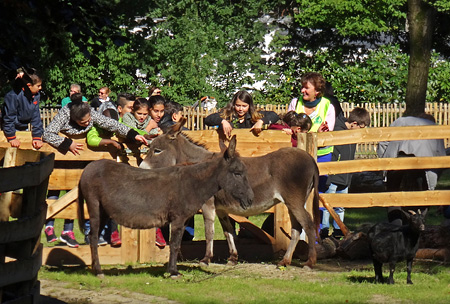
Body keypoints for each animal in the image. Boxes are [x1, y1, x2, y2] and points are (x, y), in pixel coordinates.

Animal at [78, 135, 253, 278]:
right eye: (237, 173)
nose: (250, 199)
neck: (193, 183)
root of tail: (88, 168)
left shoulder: (183, 220)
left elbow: (176, 244)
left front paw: (172, 270)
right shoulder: (177, 218)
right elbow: (174, 244)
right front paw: (173, 272)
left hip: (104, 212)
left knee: (93, 237)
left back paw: (95, 268)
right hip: (94, 207)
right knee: (93, 238)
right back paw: (99, 271)